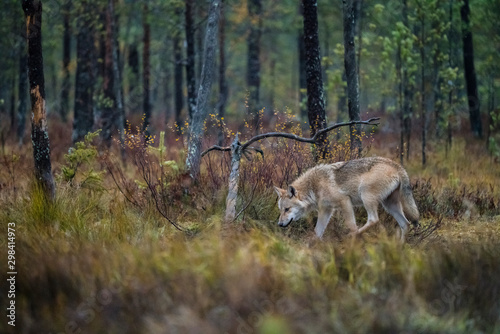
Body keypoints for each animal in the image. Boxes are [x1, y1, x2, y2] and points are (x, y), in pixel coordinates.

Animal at [276, 158, 420, 241]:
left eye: (287, 209)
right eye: (281, 210)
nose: (279, 224)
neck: (313, 187)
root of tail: (396, 165)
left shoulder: (344, 201)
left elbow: (351, 225)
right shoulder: (326, 210)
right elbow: (317, 232)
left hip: (367, 197)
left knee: (373, 220)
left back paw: (352, 236)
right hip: (390, 206)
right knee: (405, 224)